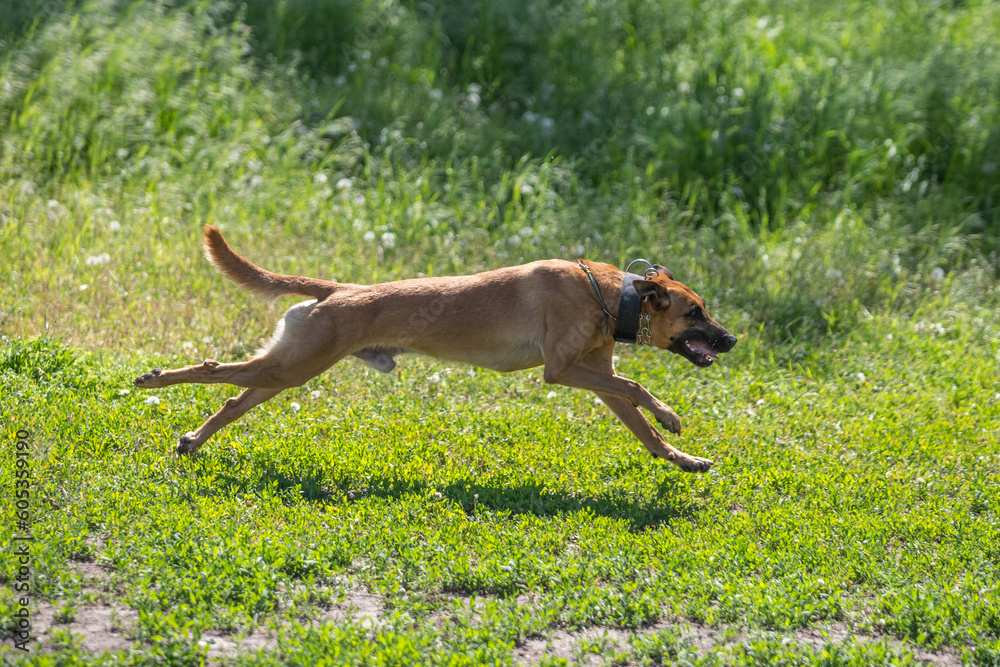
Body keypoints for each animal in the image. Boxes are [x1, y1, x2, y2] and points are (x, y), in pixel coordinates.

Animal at [133, 227, 736, 472]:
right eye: (696, 312)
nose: (732, 340)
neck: (610, 296)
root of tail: (337, 291)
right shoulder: (562, 370)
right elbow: (638, 387)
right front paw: (671, 413)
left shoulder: (594, 378)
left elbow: (645, 430)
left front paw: (684, 459)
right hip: (292, 366)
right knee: (213, 369)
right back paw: (154, 380)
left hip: (284, 370)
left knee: (231, 398)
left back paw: (191, 440)